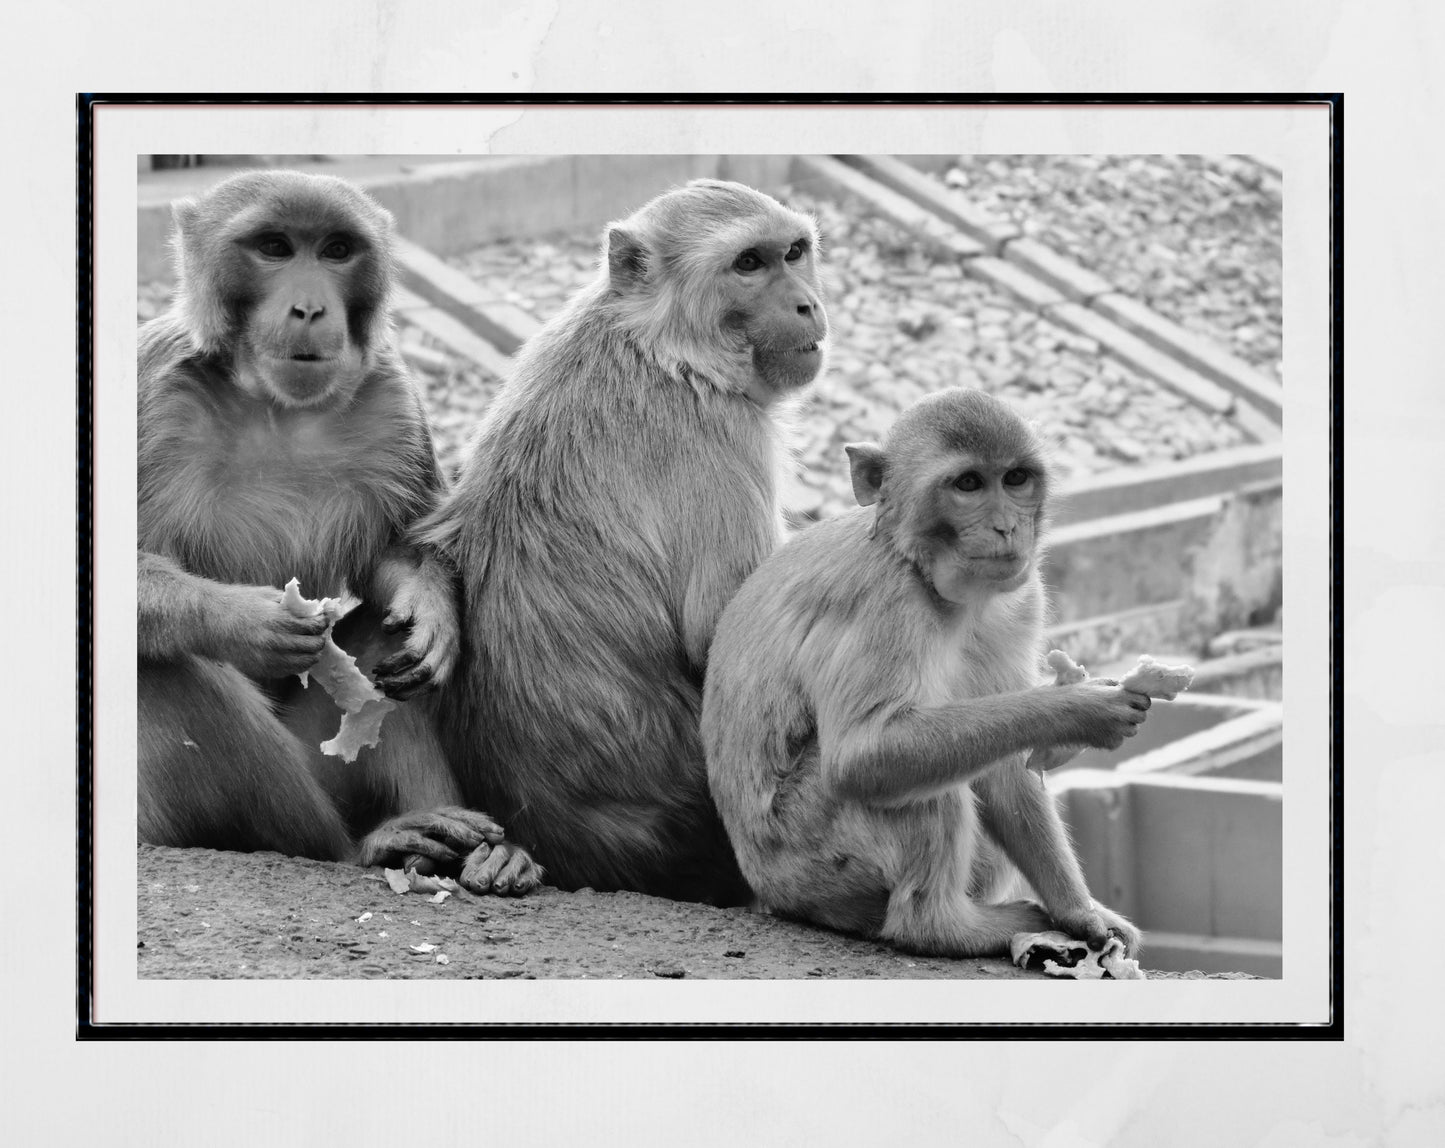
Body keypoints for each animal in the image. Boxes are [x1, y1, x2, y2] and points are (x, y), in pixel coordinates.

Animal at [137, 169, 540, 895]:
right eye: (274, 247)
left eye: (335, 250)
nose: (309, 309)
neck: (274, 406)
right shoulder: (154, 396)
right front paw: (250, 620)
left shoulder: (393, 397)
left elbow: (396, 555)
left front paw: (431, 611)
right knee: (166, 666)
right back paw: (358, 846)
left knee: (383, 645)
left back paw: (464, 846)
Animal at [395, 179, 829, 905]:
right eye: (748, 263)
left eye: (794, 252)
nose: (807, 302)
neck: (658, 342)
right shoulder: (723, 433)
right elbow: (724, 640)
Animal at [701, 388, 1147, 957]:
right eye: (968, 484)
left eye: (1016, 478)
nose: (1007, 527)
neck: (926, 570)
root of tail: (767, 889)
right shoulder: (885, 600)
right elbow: (864, 755)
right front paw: (1081, 709)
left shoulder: (1024, 599)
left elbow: (1009, 770)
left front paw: (1080, 912)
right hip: (810, 856)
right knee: (913, 781)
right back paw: (943, 927)